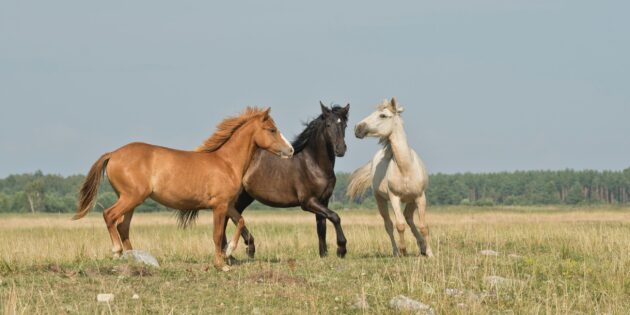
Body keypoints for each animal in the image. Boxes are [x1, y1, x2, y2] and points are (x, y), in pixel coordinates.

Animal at [73, 107, 296, 270]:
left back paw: (133, 258)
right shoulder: (219, 206)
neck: (226, 163)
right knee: (109, 216)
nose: (291, 150)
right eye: (272, 129)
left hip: (131, 200)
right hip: (131, 197)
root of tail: (114, 153)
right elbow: (217, 235)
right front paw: (221, 264)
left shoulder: (228, 205)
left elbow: (241, 221)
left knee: (123, 226)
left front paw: (230, 252)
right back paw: (117, 251)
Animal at [225, 103, 350, 260]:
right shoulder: (308, 202)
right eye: (328, 124)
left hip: (245, 197)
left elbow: (321, 227)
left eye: (344, 125)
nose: (340, 149)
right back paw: (242, 249)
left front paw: (323, 255)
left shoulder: (323, 200)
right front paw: (341, 249)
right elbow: (335, 217)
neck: (314, 164)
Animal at [346, 97, 434, 258]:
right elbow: (399, 225)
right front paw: (403, 251)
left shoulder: (420, 197)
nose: (357, 128)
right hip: (380, 200)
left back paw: (422, 247)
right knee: (389, 225)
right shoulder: (394, 198)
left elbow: (423, 226)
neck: (405, 168)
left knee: (409, 217)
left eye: (383, 115)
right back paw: (396, 252)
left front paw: (430, 253)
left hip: (411, 200)